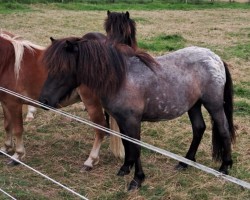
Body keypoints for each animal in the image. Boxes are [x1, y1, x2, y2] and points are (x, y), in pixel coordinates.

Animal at [38, 38, 234, 191]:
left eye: (62, 68)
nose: (44, 100)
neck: (121, 79)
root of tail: (215, 58)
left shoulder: (132, 121)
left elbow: (136, 147)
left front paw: (137, 179)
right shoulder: (122, 120)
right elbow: (127, 145)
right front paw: (125, 168)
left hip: (214, 105)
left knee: (223, 130)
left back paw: (225, 167)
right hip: (193, 105)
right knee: (199, 128)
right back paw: (185, 163)